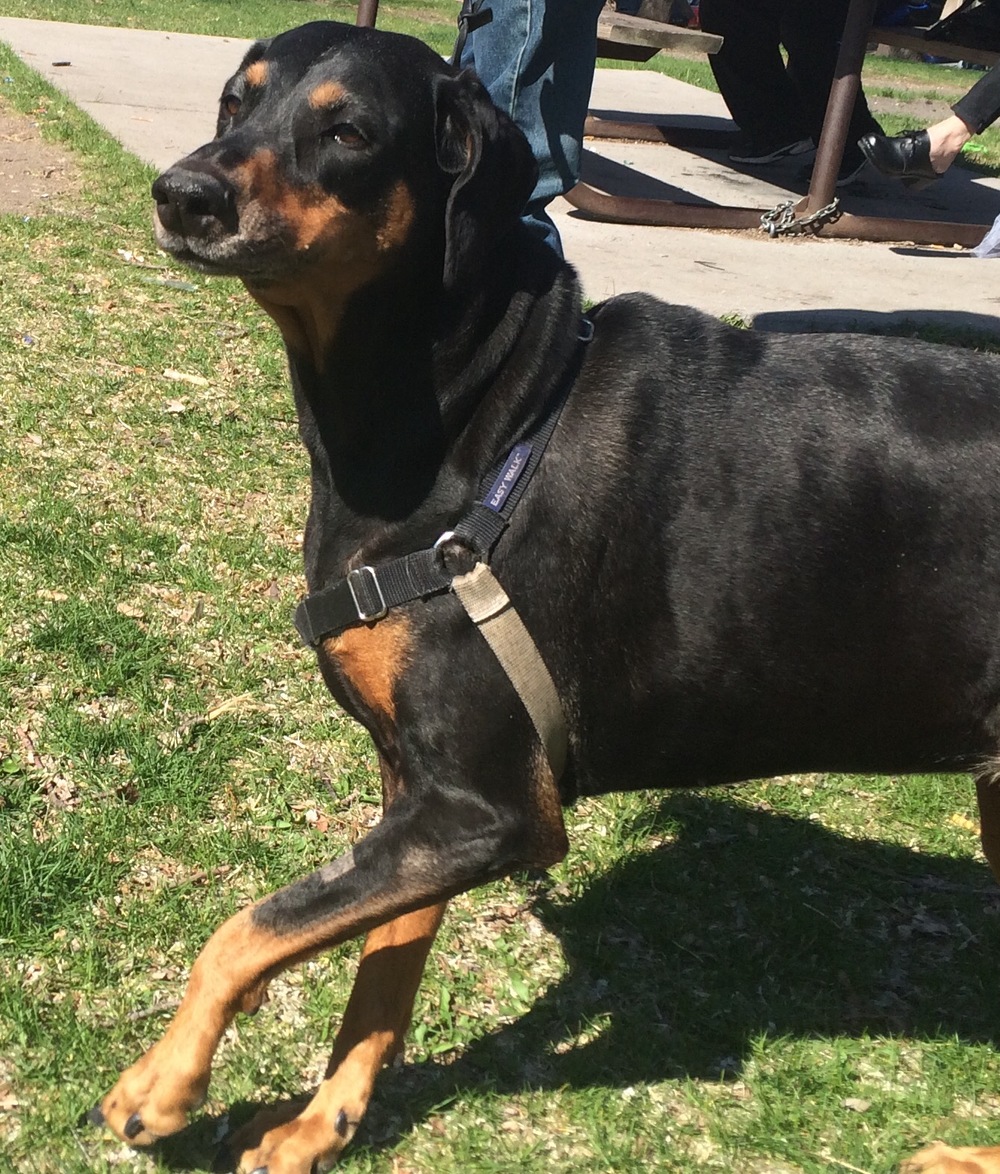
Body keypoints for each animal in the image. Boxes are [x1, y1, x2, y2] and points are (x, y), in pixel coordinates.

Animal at [89, 18, 1000, 1174]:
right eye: (233, 101)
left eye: (348, 131)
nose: (183, 193)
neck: (484, 414)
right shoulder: (423, 791)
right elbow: (382, 968)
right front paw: (318, 1124)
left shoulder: (497, 808)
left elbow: (248, 926)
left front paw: (162, 1085)